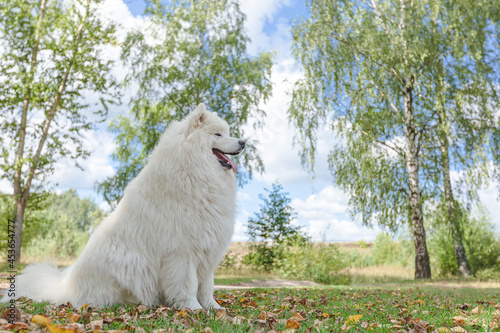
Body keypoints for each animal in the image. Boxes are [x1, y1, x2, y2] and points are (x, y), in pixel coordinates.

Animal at [13, 104, 244, 308]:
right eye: (218, 134)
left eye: (227, 133)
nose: (242, 142)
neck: (193, 171)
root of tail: (65, 288)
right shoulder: (181, 253)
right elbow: (186, 285)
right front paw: (193, 308)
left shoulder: (206, 252)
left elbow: (206, 287)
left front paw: (214, 308)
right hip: (126, 259)